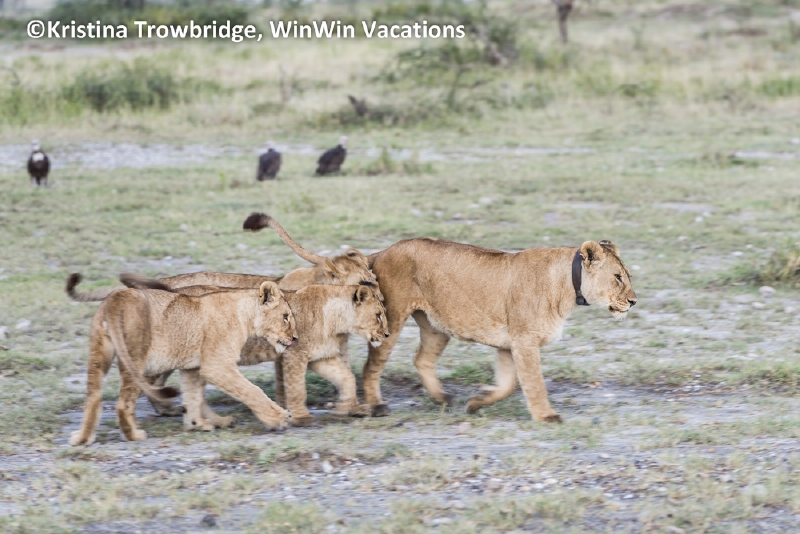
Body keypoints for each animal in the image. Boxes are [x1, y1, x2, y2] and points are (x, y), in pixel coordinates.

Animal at [67, 274, 297, 446]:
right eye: (285, 316)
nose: (295, 338)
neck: (245, 314)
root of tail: (117, 297)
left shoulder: (192, 368)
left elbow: (193, 395)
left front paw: (197, 424)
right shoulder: (216, 366)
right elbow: (252, 391)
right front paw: (279, 418)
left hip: (99, 353)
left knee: (93, 397)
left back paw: (82, 439)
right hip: (135, 357)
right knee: (124, 403)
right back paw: (133, 435)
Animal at [125, 278, 389, 428]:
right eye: (378, 315)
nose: (387, 335)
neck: (337, 321)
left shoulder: (320, 358)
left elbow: (346, 377)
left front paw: (350, 408)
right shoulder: (295, 355)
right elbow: (297, 389)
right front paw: (301, 418)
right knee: (149, 378)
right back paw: (163, 409)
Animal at [254, 215, 637, 422]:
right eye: (619, 277)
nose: (634, 301)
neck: (567, 286)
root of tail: (381, 252)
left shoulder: (509, 343)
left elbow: (508, 383)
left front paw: (477, 402)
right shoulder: (524, 341)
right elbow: (533, 383)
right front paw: (546, 415)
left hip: (436, 326)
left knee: (421, 359)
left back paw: (441, 398)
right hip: (390, 320)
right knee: (370, 367)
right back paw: (377, 405)